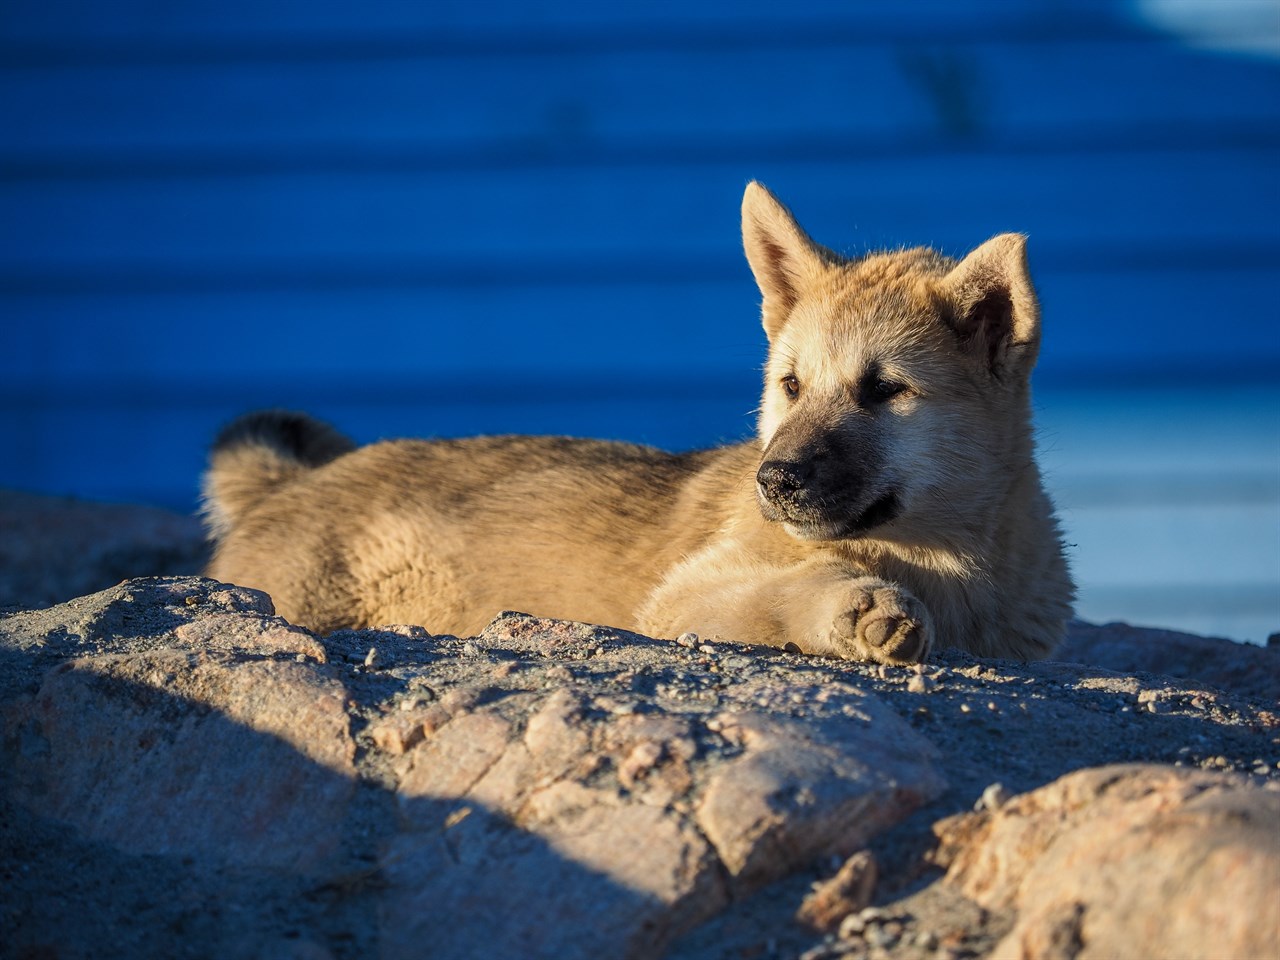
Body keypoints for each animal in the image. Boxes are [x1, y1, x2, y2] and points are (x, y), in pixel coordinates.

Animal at [204, 180, 1075, 665]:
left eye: (885, 391)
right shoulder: (677, 603)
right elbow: (778, 590)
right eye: (791, 385)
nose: (775, 481)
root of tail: (283, 488)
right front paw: (854, 608)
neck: (948, 562)